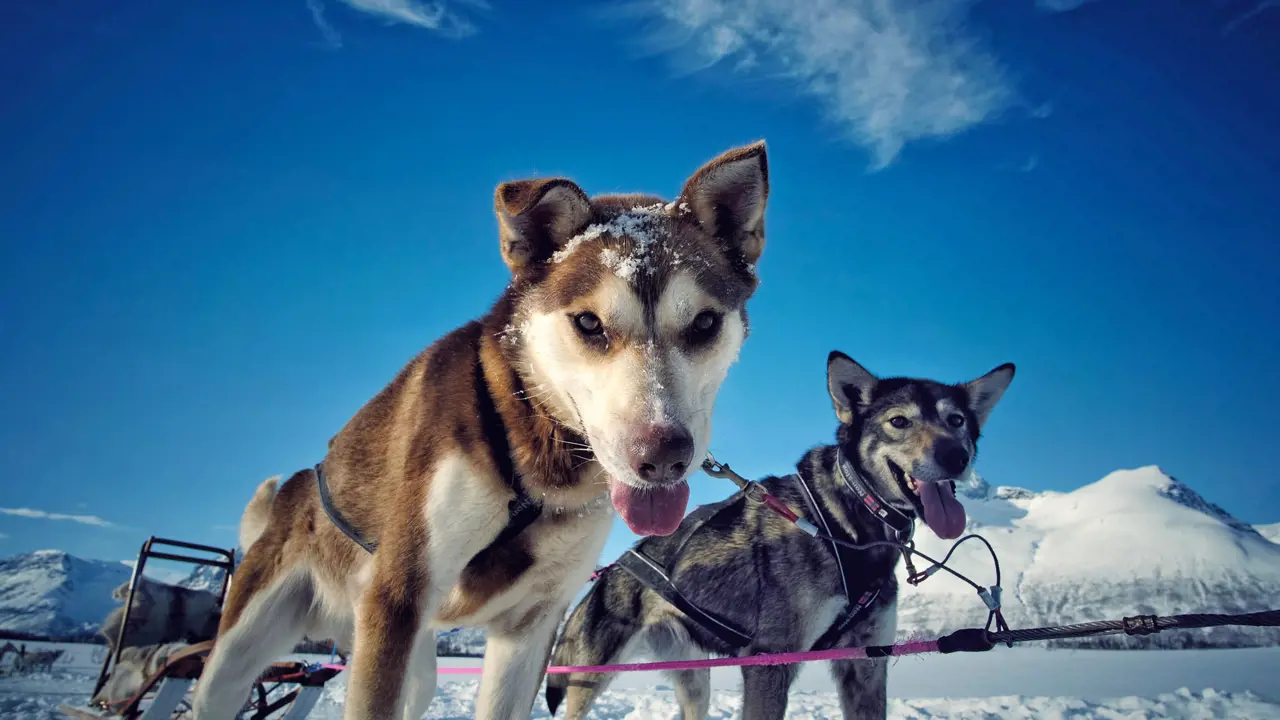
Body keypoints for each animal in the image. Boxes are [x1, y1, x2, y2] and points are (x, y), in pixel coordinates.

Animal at [189, 141, 768, 717]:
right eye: (588, 323)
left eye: (704, 323)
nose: (663, 454)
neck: (533, 446)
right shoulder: (397, 596)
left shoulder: (531, 624)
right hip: (243, 657)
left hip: (416, 669)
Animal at [545, 351, 1013, 712]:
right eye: (899, 422)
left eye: (957, 420)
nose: (955, 455)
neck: (845, 525)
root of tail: (608, 575)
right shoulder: (770, 661)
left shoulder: (866, 662)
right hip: (590, 679)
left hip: (695, 680)